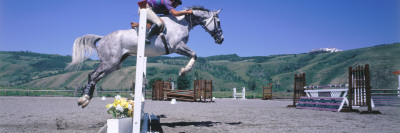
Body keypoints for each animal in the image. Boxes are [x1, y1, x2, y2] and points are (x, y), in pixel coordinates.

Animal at [65, 6, 222, 107]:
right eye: (219, 22)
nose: (221, 39)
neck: (181, 22)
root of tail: (102, 38)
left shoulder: (178, 47)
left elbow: (194, 54)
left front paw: (183, 71)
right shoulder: (176, 46)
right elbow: (194, 54)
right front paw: (183, 71)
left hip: (115, 64)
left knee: (96, 76)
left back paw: (86, 98)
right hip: (110, 62)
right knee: (92, 75)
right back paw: (84, 99)